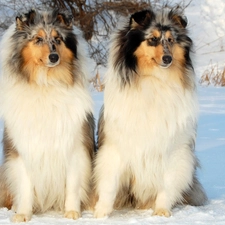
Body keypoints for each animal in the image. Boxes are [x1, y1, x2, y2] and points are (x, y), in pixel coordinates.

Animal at [0, 8, 95, 221]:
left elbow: (73, 185)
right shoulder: (24, 148)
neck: (46, 84)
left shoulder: (75, 146)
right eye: (38, 39)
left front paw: (72, 212)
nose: (53, 57)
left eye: (58, 39)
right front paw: (23, 214)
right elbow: (25, 186)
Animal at [93, 6, 207, 218]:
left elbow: (168, 184)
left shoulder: (175, 150)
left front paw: (161, 211)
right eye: (152, 39)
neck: (156, 80)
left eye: (170, 40)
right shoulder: (115, 146)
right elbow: (109, 183)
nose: (167, 59)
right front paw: (101, 213)